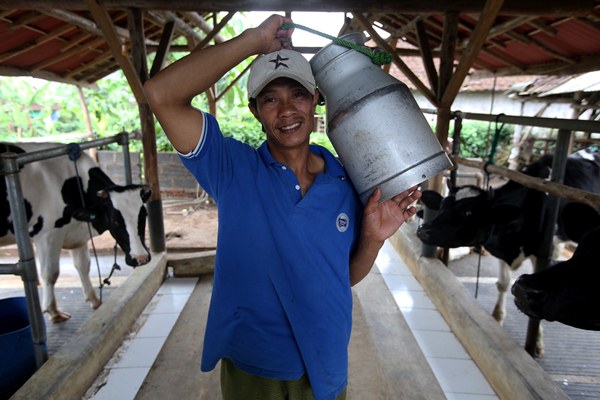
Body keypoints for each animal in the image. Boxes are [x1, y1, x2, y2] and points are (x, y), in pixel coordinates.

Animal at [1, 142, 151, 324]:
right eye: (115, 221)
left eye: (144, 215)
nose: (141, 258)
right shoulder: (47, 236)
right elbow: (50, 274)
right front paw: (54, 312)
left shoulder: (77, 236)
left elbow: (83, 265)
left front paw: (95, 300)